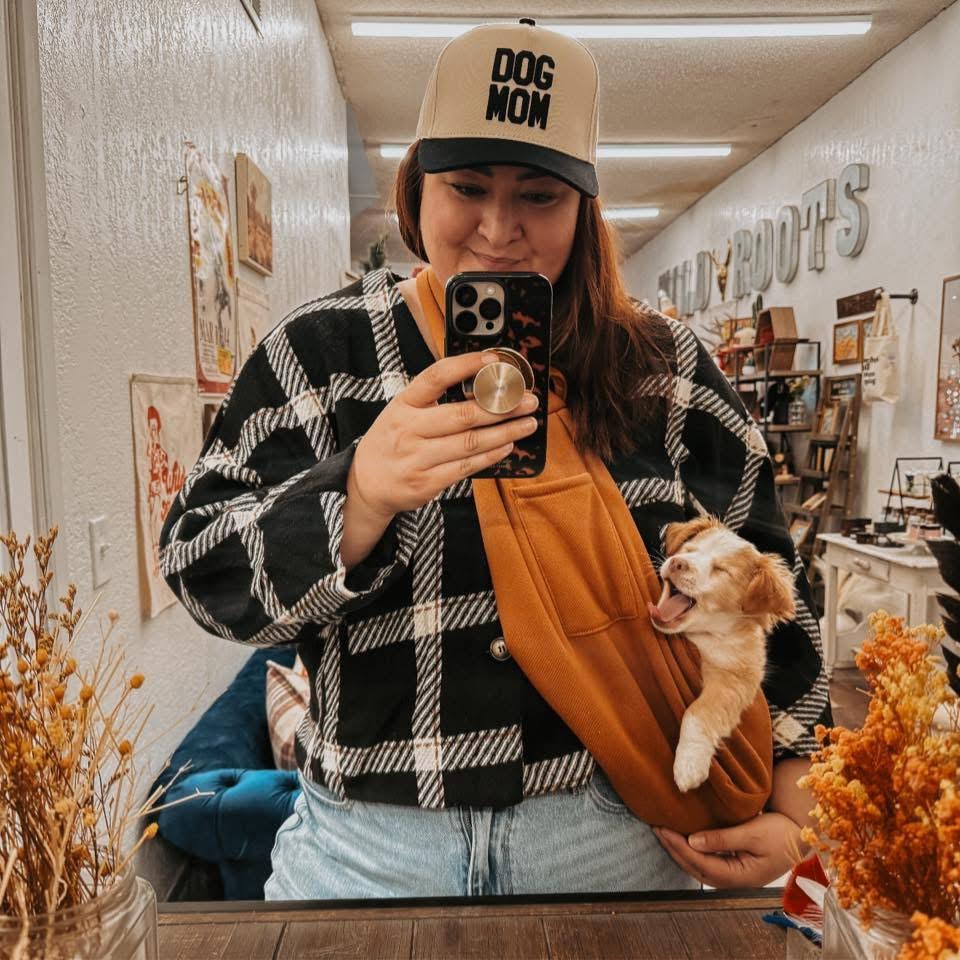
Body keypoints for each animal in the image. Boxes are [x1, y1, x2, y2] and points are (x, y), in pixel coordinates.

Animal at [647, 515, 796, 793]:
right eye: (689, 550)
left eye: (721, 570)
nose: (677, 562)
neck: (704, 634)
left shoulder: (735, 681)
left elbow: (698, 711)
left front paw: (689, 763)